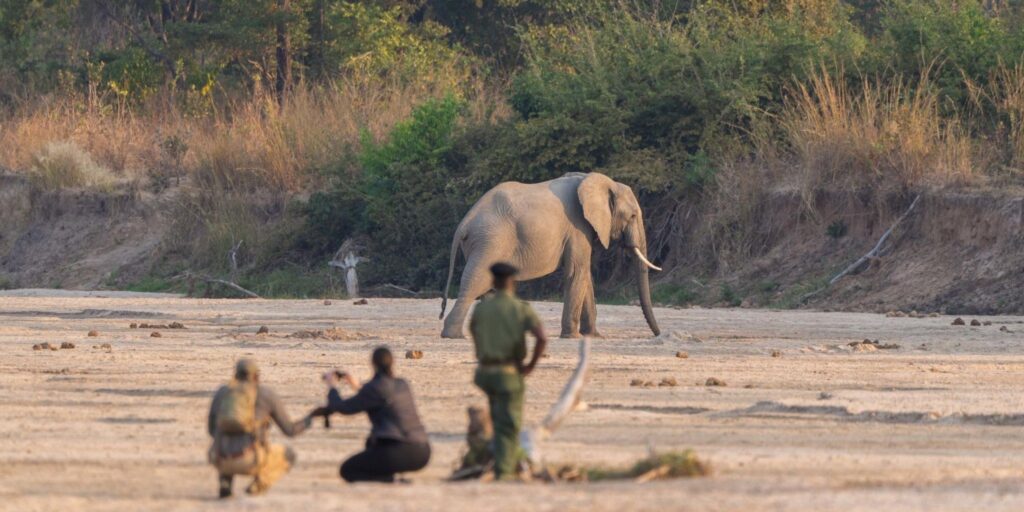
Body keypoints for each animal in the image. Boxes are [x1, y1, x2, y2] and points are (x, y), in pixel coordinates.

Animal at [438, 172, 662, 339]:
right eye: (632, 216)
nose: (658, 334)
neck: (601, 181)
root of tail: (465, 223)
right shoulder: (577, 226)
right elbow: (577, 272)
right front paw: (573, 337)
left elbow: (585, 276)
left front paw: (594, 336)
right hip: (490, 241)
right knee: (476, 282)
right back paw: (453, 335)